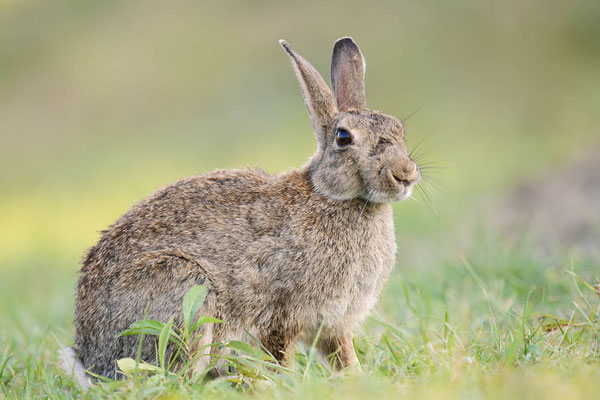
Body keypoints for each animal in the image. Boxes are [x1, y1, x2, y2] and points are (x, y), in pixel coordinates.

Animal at [59, 36, 418, 386]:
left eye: (399, 130)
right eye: (343, 137)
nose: (405, 174)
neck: (333, 196)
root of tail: (91, 360)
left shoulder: (334, 325)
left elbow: (344, 358)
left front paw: (358, 379)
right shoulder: (280, 314)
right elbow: (280, 355)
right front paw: (285, 385)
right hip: (183, 288)